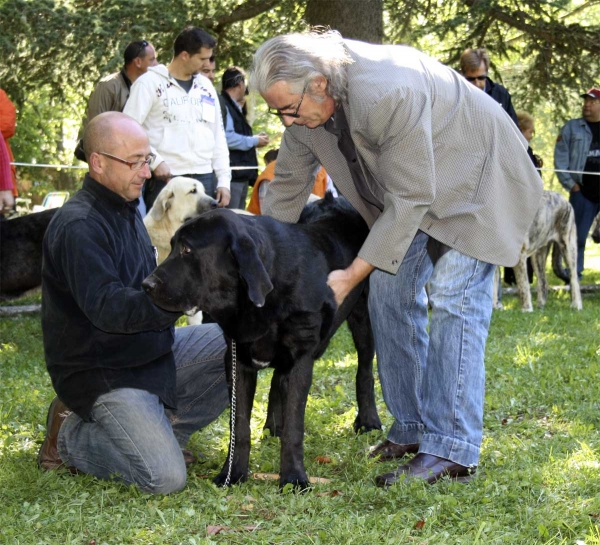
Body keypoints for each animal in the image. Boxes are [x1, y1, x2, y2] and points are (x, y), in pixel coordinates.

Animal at [142, 192, 380, 488]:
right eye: (173, 245)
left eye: (186, 250)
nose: (146, 284)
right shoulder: (236, 361)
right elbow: (239, 426)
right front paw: (233, 473)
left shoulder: (301, 359)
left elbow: (294, 427)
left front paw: (293, 478)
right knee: (278, 380)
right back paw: (272, 425)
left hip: (363, 316)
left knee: (365, 369)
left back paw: (369, 420)